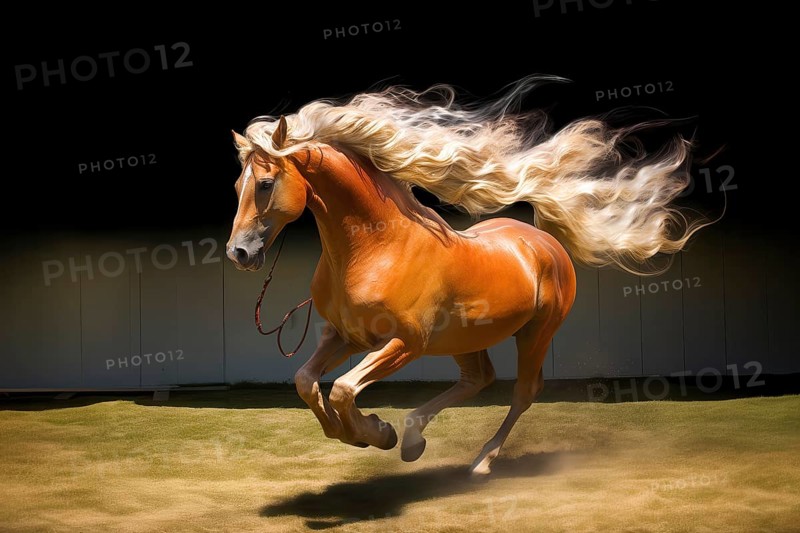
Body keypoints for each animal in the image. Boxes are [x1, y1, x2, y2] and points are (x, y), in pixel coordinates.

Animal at [225, 79, 706, 475]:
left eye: (265, 184)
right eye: (236, 187)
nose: (239, 252)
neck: (377, 247)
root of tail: (544, 241)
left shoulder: (405, 343)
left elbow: (342, 388)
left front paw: (375, 432)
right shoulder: (343, 335)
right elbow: (306, 383)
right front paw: (364, 434)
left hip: (536, 333)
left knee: (523, 392)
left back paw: (480, 461)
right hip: (464, 338)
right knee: (479, 379)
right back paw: (414, 439)